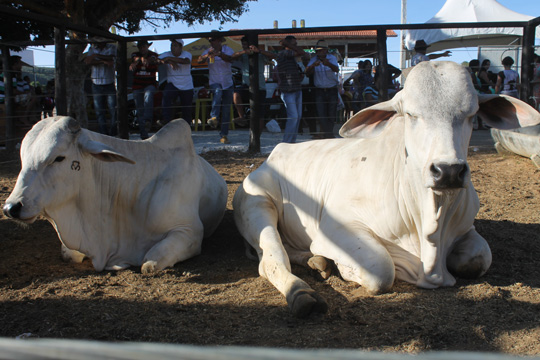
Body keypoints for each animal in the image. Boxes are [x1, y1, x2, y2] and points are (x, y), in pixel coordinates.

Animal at [2, 117, 226, 272]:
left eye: (59, 158)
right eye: (23, 157)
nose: (11, 207)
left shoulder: (190, 231)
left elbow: (149, 263)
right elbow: (68, 254)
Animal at [234, 62, 540, 318]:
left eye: (472, 114)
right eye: (411, 114)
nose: (449, 171)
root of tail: (275, 153)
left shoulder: (467, 227)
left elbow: (478, 259)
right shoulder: (337, 227)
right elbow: (381, 270)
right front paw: (345, 268)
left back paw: (317, 261)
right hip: (257, 205)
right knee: (271, 260)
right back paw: (303, 294)